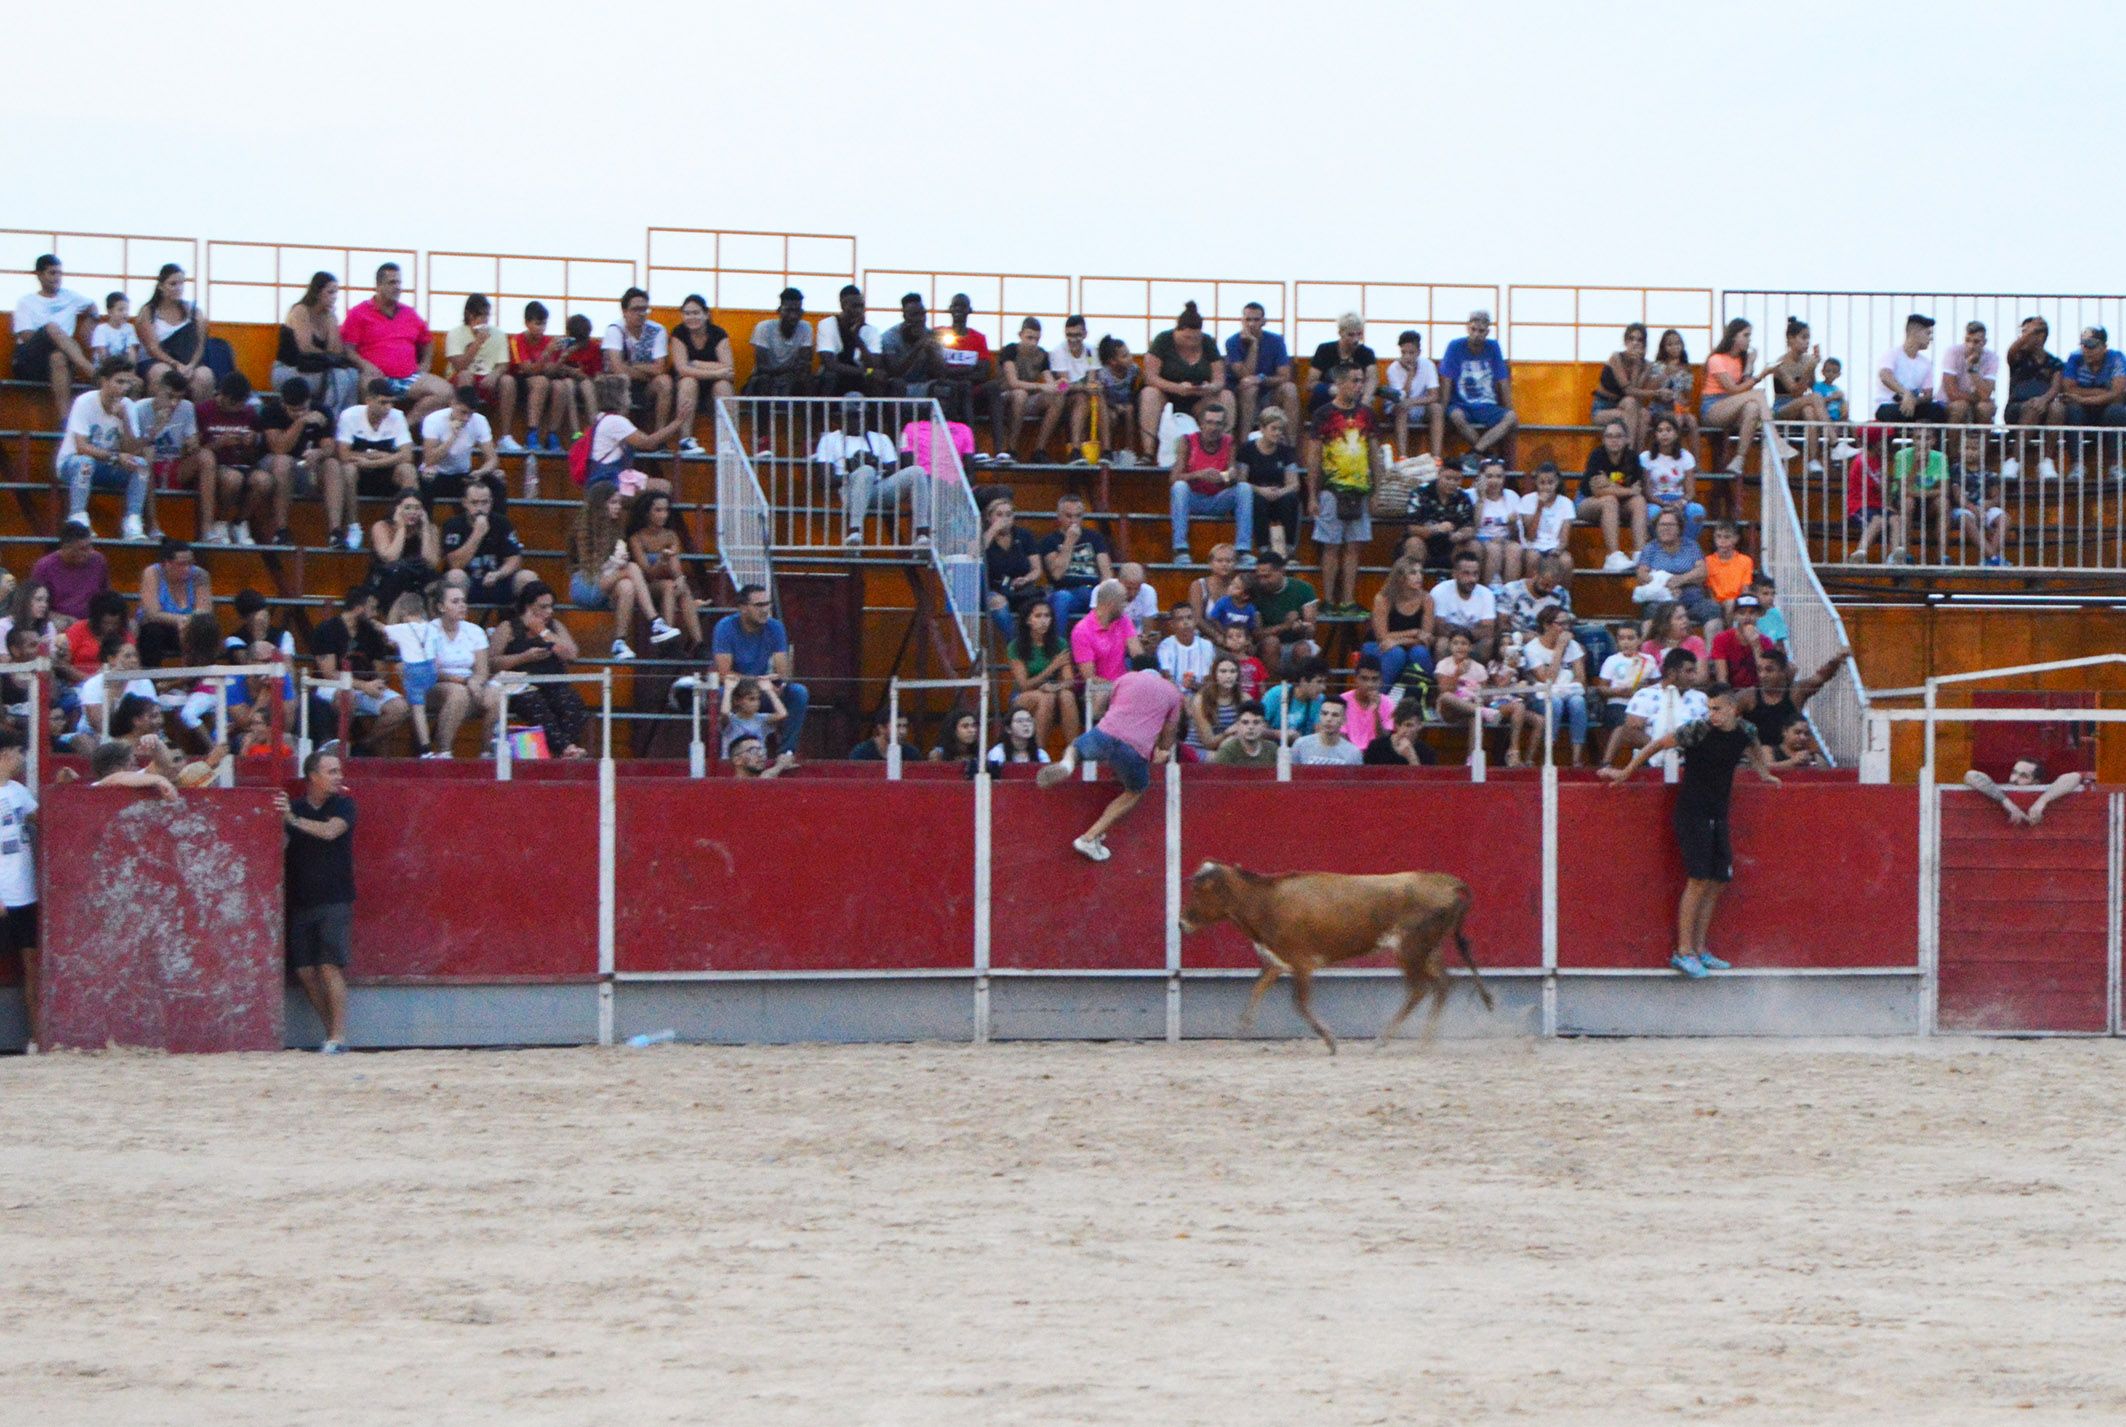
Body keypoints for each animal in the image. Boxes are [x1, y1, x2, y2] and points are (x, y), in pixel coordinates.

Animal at [1182, 859, 1496, 1050]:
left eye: (1199, 890)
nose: (1181, 923)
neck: (1264, 901)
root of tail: (1445, 882)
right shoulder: (1277, 961)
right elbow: (1257, 989)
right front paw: (1242, 1028)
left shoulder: (1301, 962)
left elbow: (1299, 1002)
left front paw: (1330, 1040)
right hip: (1428, 951)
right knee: (1443, 984)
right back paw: (1425, 1041)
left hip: (1411, 950)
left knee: (1420, 989)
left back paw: (1383, 1038)